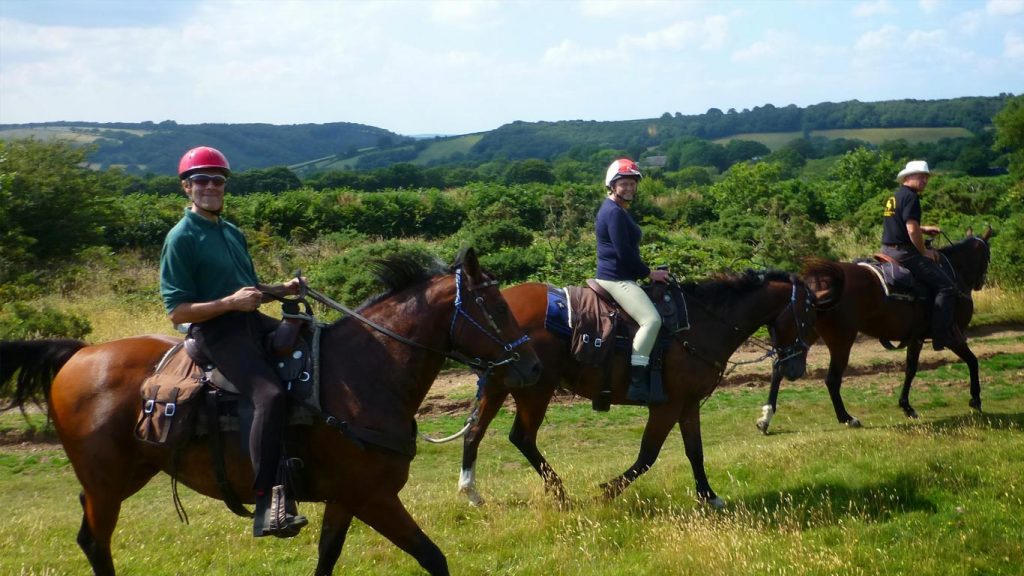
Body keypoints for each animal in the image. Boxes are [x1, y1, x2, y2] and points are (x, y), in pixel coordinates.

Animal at [0, 248, 540, 576]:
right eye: (496, 307)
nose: (529, 366)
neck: (363, 375)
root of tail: (78, 355)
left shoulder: (346, 498)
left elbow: (327, 557)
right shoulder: (374, 497)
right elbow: (433, 557)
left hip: (123, 476)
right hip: (107, 483)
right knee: (95, 541)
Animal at [456, 270, 816, 508]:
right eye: (808, 316)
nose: (795, 369)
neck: (701, 324)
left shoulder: (688, 405)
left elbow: (695, 451)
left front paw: (708, 495)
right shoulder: (667, 406)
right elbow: (647, 455)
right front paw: (607, 491)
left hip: (499, 387)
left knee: (474, 433)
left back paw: (471, 492)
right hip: (535, 392)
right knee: (522, 437)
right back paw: (560, 493)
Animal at [755, 228, 993, 435]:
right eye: (988, 256)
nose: (980, 283)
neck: (953, 274)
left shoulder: (915, 338)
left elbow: (910, 369)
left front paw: (906, 406)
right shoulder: (952, 335)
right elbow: (973, 361)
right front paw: (976, 398)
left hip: (804, 334)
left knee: (779, 368)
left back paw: (766, 418)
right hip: (841, 340)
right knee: (832, 379)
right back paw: (847, 418)